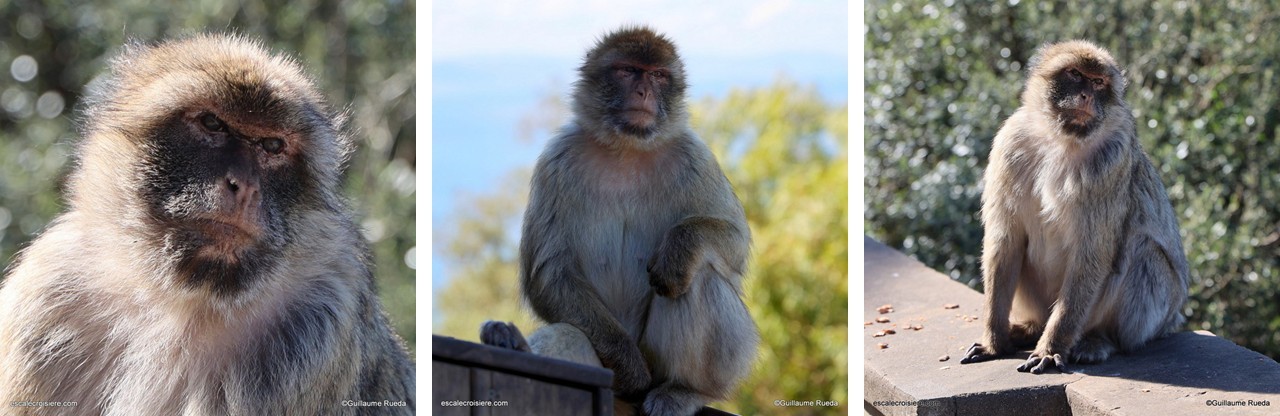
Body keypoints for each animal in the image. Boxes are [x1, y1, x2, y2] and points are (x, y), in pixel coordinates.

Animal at [0, 34, 414, 415]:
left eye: (272, 146)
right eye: (213, 123)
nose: (244, 185)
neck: (181, 299)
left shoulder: (320, 326)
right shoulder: (47, 294)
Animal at [480, 26, 758, 415]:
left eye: (658, 75)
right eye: (627, 71)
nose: (643, 92)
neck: (628, 149)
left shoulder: (695, 157)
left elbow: (735, 242)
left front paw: (679, 248)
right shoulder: (557, 162)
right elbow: (551, 273)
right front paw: (627, 365)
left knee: (698, 276)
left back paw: (685, 390)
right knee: (570, 331)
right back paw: (512, 342)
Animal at [959, 40, 1189, 374]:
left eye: (1098, 82)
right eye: (1075, 75)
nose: (1086, 96)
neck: (1060, 140)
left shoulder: (1110, 163)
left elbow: (1091, 254)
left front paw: (1050, 348)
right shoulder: (1008, 145)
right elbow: (1005, 242)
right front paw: (994, 341)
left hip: (1154, 317)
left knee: (1144, 252)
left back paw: (1100, 340)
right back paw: (1030, 329)